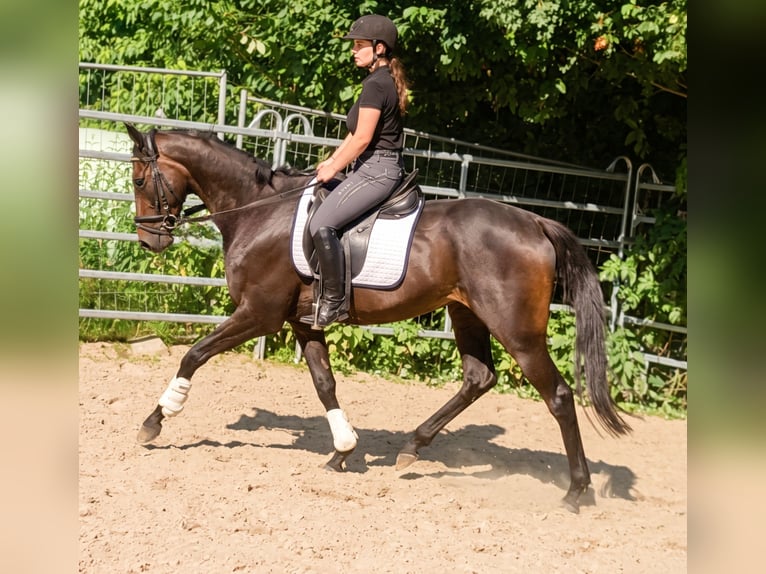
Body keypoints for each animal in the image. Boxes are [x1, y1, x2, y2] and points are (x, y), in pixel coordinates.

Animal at [125, 123, 630, 513]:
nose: (149, 241)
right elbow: (324, 383)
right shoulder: (303, 321)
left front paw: (155, 421)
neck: (259, 211)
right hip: (466, 313)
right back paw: (411, 448)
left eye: (138, 180)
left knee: (558, 396)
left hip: (518, 331)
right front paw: (342, 451)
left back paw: (577, 492)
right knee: (478, 377)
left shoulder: (258, 314)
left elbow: (193, 355)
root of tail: (536, 223)